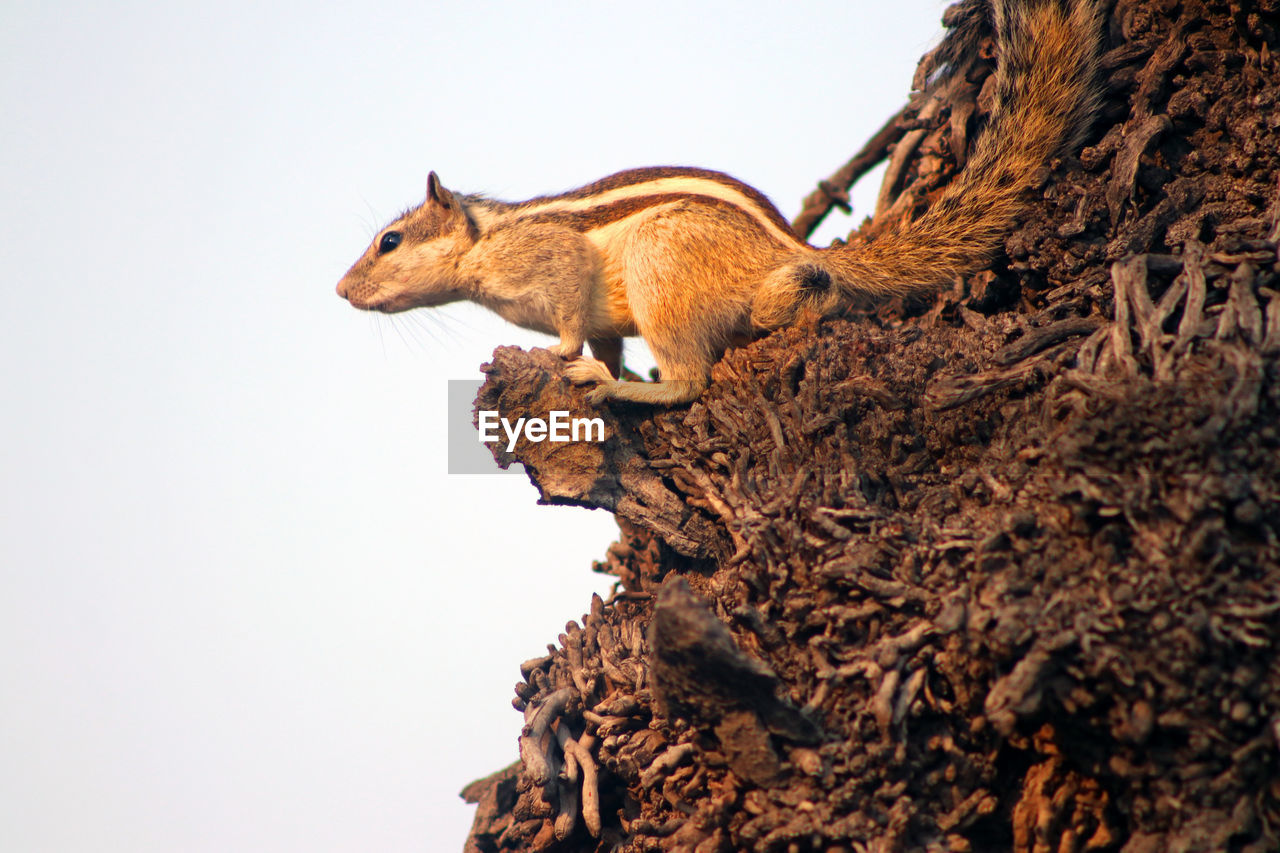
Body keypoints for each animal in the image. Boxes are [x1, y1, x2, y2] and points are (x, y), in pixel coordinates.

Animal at [337, 0, 1100, 404]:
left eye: (389, 242)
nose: (341, 291)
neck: (484, 243)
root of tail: (788, 246)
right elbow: (606, 338)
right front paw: (605, 362)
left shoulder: (552, 260)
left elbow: (571, 321)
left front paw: (569, 358)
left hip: (662, 265)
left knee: (688, 382)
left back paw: (626, 388)